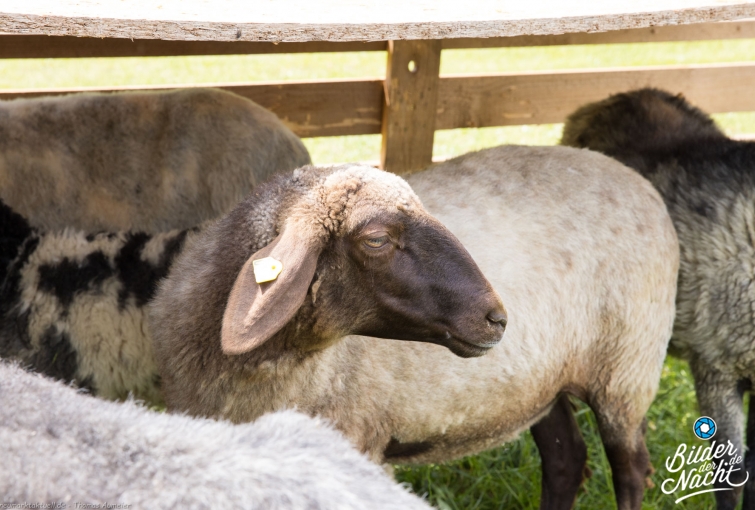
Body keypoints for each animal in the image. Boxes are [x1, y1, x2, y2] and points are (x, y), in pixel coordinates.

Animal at [150, 148, 679, 510]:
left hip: (625, 369)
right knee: (566, 459)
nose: (496, 317)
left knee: (631, 469)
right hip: (543, 379)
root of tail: (635, 178)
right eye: (376, 239)